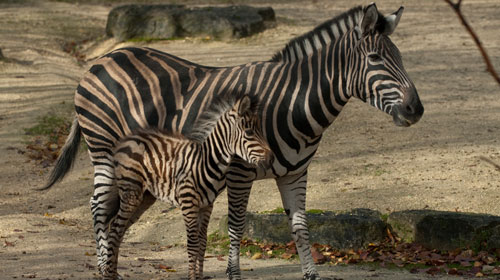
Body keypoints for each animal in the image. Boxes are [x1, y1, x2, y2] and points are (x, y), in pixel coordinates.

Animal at [104, 95, 274, 278]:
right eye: (249, 132)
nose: (272, 158)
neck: (206, 162)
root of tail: (125, 140)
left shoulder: (206, 205)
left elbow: (202, 242)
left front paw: (199, 276)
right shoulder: (188, 203)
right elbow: (192, 244)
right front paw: (193, 277)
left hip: (144, 198)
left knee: (119, 230)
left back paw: (112, 273)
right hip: (131, 192)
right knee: (114, 230)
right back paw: (108, 275)